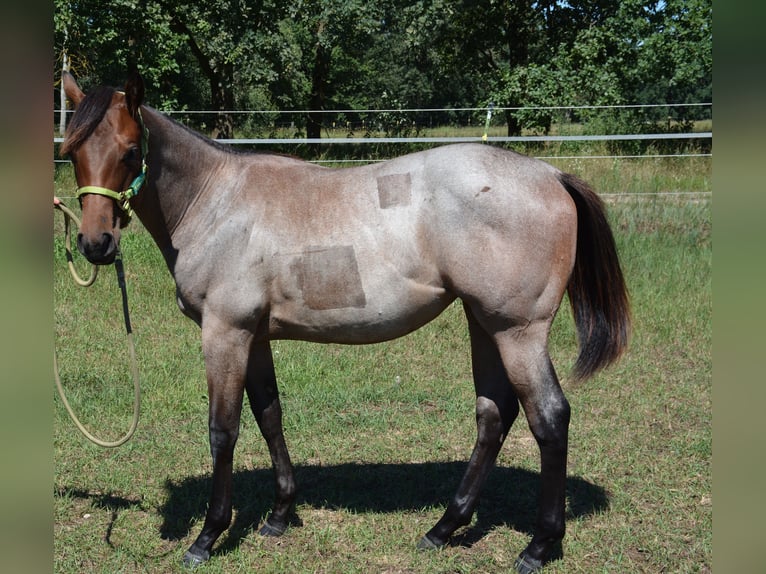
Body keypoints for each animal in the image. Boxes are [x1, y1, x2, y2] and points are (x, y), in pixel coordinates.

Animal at [60, 73, 632, 574]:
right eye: (71, 152)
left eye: (129, 152)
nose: (95, 244)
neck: (216, 203)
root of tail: (551, 175)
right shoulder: (255, 337)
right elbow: (270, 416)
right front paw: (280, 515)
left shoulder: (225, 333)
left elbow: (223, 430)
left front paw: (208, 535)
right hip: (483, 322)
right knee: (494, 415)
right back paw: (444, 528)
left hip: (518, 332)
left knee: (549, 418)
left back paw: (538, 546)